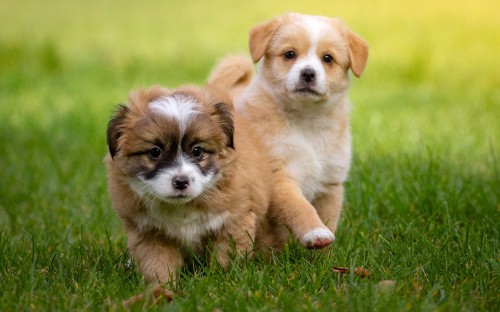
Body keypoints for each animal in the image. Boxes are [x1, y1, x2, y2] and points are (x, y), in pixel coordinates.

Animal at [105, 85, 286, 286]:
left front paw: (222, 281)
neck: (182, 208)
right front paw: (161, 288)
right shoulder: (150, 233)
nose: (181, 181)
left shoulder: (233, 222)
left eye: (197, 151)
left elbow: (225, 259)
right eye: (155, 152)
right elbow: (157, 264)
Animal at [207, 13, 368, 249]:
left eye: (328, 58)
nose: (308, 73)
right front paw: (315, 232)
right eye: (289, 54)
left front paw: (326, 254)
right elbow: (299, 206)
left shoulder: (330, 184)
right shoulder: (278, 177)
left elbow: (329, 220)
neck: (306, 123)